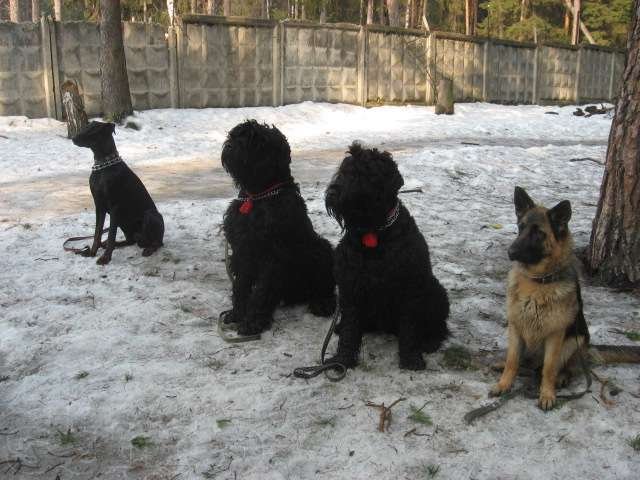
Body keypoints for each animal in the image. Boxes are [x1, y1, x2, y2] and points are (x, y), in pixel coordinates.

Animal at [72, 119, 165, 262]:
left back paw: (149, 249)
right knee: (130, 240)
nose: (73, 138)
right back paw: (114, 244)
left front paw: (105, 258)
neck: (103, 166)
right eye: (86, 127)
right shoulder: (99, 206)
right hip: (124, 222)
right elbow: (98, 232)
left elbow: (111, 234)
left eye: (93, 130)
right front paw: (92, 252)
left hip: (150, 215)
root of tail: (141, 239)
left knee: (158, 242)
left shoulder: (114, 207)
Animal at [221, 120, 336, 336]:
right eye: (234, 136)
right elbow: (241, 286)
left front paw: (253, 322)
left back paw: (322, 303)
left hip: (322, 249)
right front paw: (237, 313)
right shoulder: (242, 250)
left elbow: (262, 291)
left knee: (324, 286)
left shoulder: (273, 255)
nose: (230, 146)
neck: (258, 196)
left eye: (255, 140)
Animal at [324, 142, 450, 372]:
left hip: (436, 290)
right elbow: (350, 330)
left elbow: (410, 328)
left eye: (364, 173)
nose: (333, 192)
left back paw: (430, 341)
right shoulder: (350, 288)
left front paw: (411, 358)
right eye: (343, 171)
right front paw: (342, 360)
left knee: (438, 325)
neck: (373, 234)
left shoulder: (410, 289)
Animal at [492, 186, 636, 410]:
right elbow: (512, 361)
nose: (511, 252)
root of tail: (587, 350)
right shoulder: (515, 327)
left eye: (538, 233)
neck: (538, 282)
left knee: (565, 368)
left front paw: (547, 394)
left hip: (574, 341)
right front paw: (504, 384)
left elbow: (549, 368)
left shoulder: (555, 335)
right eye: (520, 227)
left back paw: (562, 378)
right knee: (523, 362)